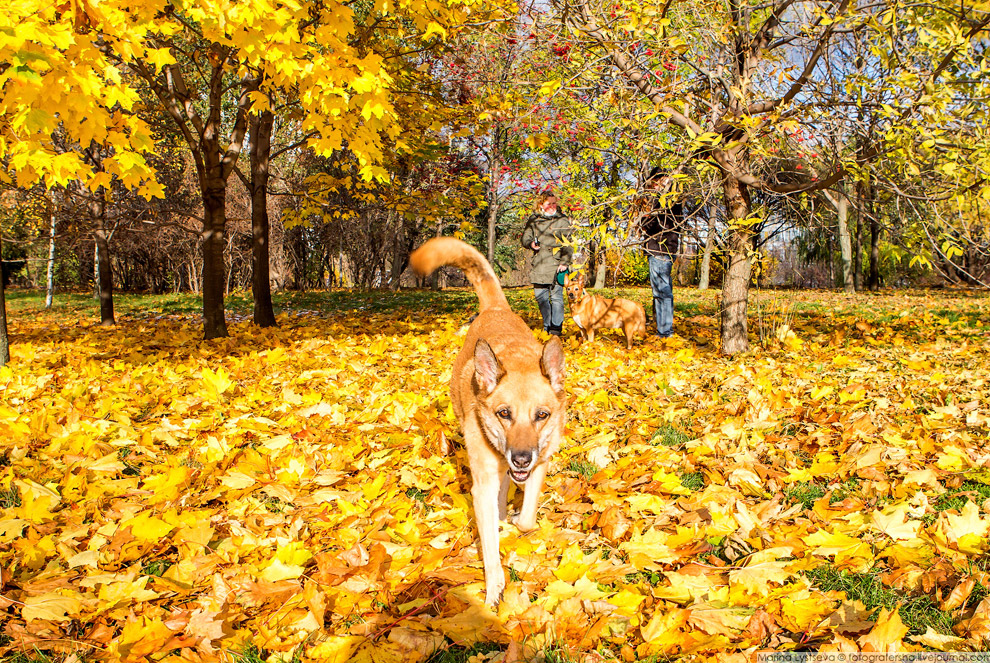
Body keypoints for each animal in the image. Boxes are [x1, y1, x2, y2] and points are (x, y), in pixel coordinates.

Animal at [408, 239, 564, 608]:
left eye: (542, 415)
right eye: (504, 413)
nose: (520, 458)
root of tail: (495, 308)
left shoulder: (540, 465)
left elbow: (527, 519)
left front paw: (515, 522)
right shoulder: (483, 485)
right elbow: (490, 545)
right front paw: (494, 587)